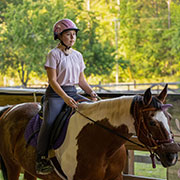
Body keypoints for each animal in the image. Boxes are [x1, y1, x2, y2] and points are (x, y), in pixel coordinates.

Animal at [0, 84, 180, 180]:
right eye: (152, 122)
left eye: (170, 117)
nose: (172, 155)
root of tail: (9, 110)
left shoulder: (115, 177)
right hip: (12, 166)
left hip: (28, 168)